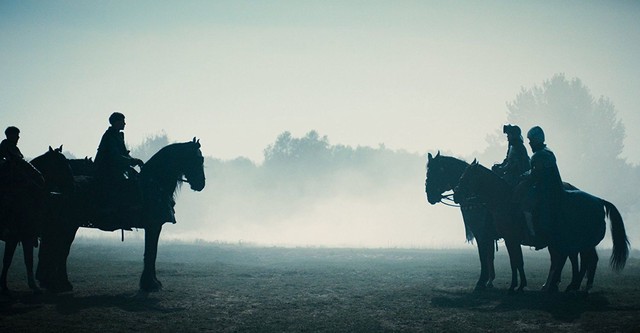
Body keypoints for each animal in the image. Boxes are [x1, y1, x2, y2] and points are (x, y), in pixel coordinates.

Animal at [0, 147, 74, 294]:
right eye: (61, 164)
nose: (72, 185)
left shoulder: (26, 236)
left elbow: (27, 259)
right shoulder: (17, 236)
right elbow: (10, 260)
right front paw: (4, 286)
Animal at [36, 137, 205, 290]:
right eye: (198, 159)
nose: (201, 184)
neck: (154, 185)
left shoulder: (154, 227)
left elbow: (152, 253)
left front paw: (152, 281)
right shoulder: (153, 226)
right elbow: (150, 253)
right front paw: (149, 283)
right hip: (69, 225)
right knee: (60, 250)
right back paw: (61, 282)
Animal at [424, 152, 500, 290]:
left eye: (434, 172)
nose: (429, 196)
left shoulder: (481, 234)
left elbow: (483, 255)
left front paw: (481, 282)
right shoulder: (488, 236)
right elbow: (489, 256)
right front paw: (489, 281)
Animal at [456, 160, 632, 290]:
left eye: (466, 176)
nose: (457, 193)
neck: (503, 200)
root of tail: (599, 200)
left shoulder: (503, 238)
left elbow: (511, 261)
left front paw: (510, 285)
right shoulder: (506, 240)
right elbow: (514, 260)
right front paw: (517, 284)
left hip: (580, 242)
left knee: (581, 259)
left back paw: (573, 285)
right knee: (579, 259)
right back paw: (566, 285)